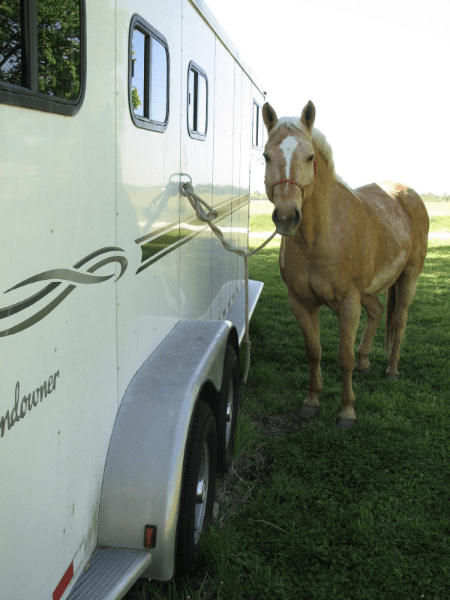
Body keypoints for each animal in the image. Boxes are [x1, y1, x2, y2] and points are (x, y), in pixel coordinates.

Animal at [264, 104, 428, 432]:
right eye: (266, 156)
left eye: (309, 157)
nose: (286, 217)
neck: (319, 237)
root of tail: (408, 194)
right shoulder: (301, 303)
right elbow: (313, 352)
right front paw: (312, 402)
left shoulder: (349, 303)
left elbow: (343, 358)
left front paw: (347, 412)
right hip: (370, 290)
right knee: (377, 312)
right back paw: (366, 361)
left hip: (409, 277)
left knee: (399, 320)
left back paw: (392, 369)